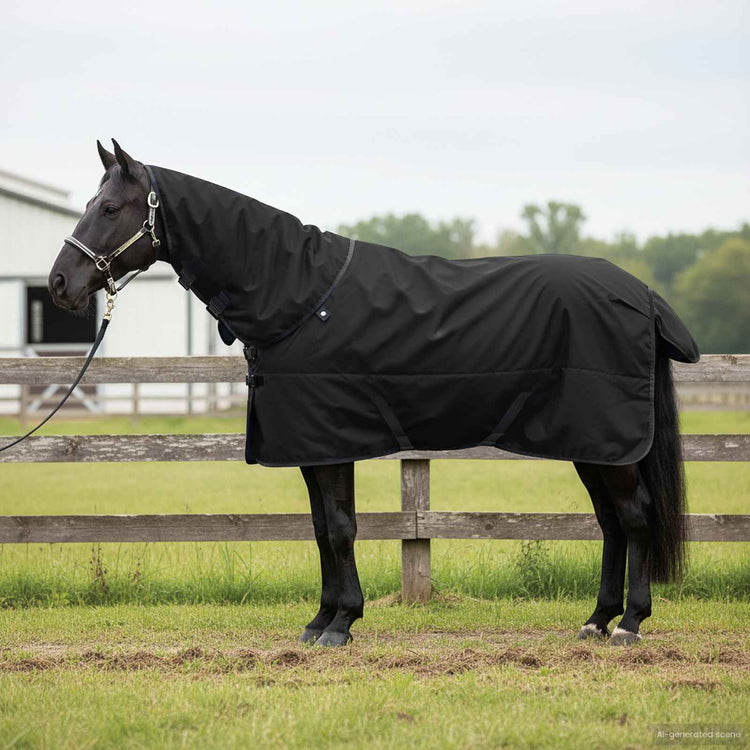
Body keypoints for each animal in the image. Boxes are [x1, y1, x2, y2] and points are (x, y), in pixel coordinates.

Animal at [48, 140, 698, 647]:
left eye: (109, 207)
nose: (59, 283)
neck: (299, 295)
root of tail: (640, 293)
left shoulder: (331, 441)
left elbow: (340, 527)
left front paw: (341, 624)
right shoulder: (310, 447)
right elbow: (320, 528)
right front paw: (320, 620)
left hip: (607, 440)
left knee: (634, 516)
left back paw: (629, 624)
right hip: (592, 444)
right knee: (611, 522)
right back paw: (596, 620)